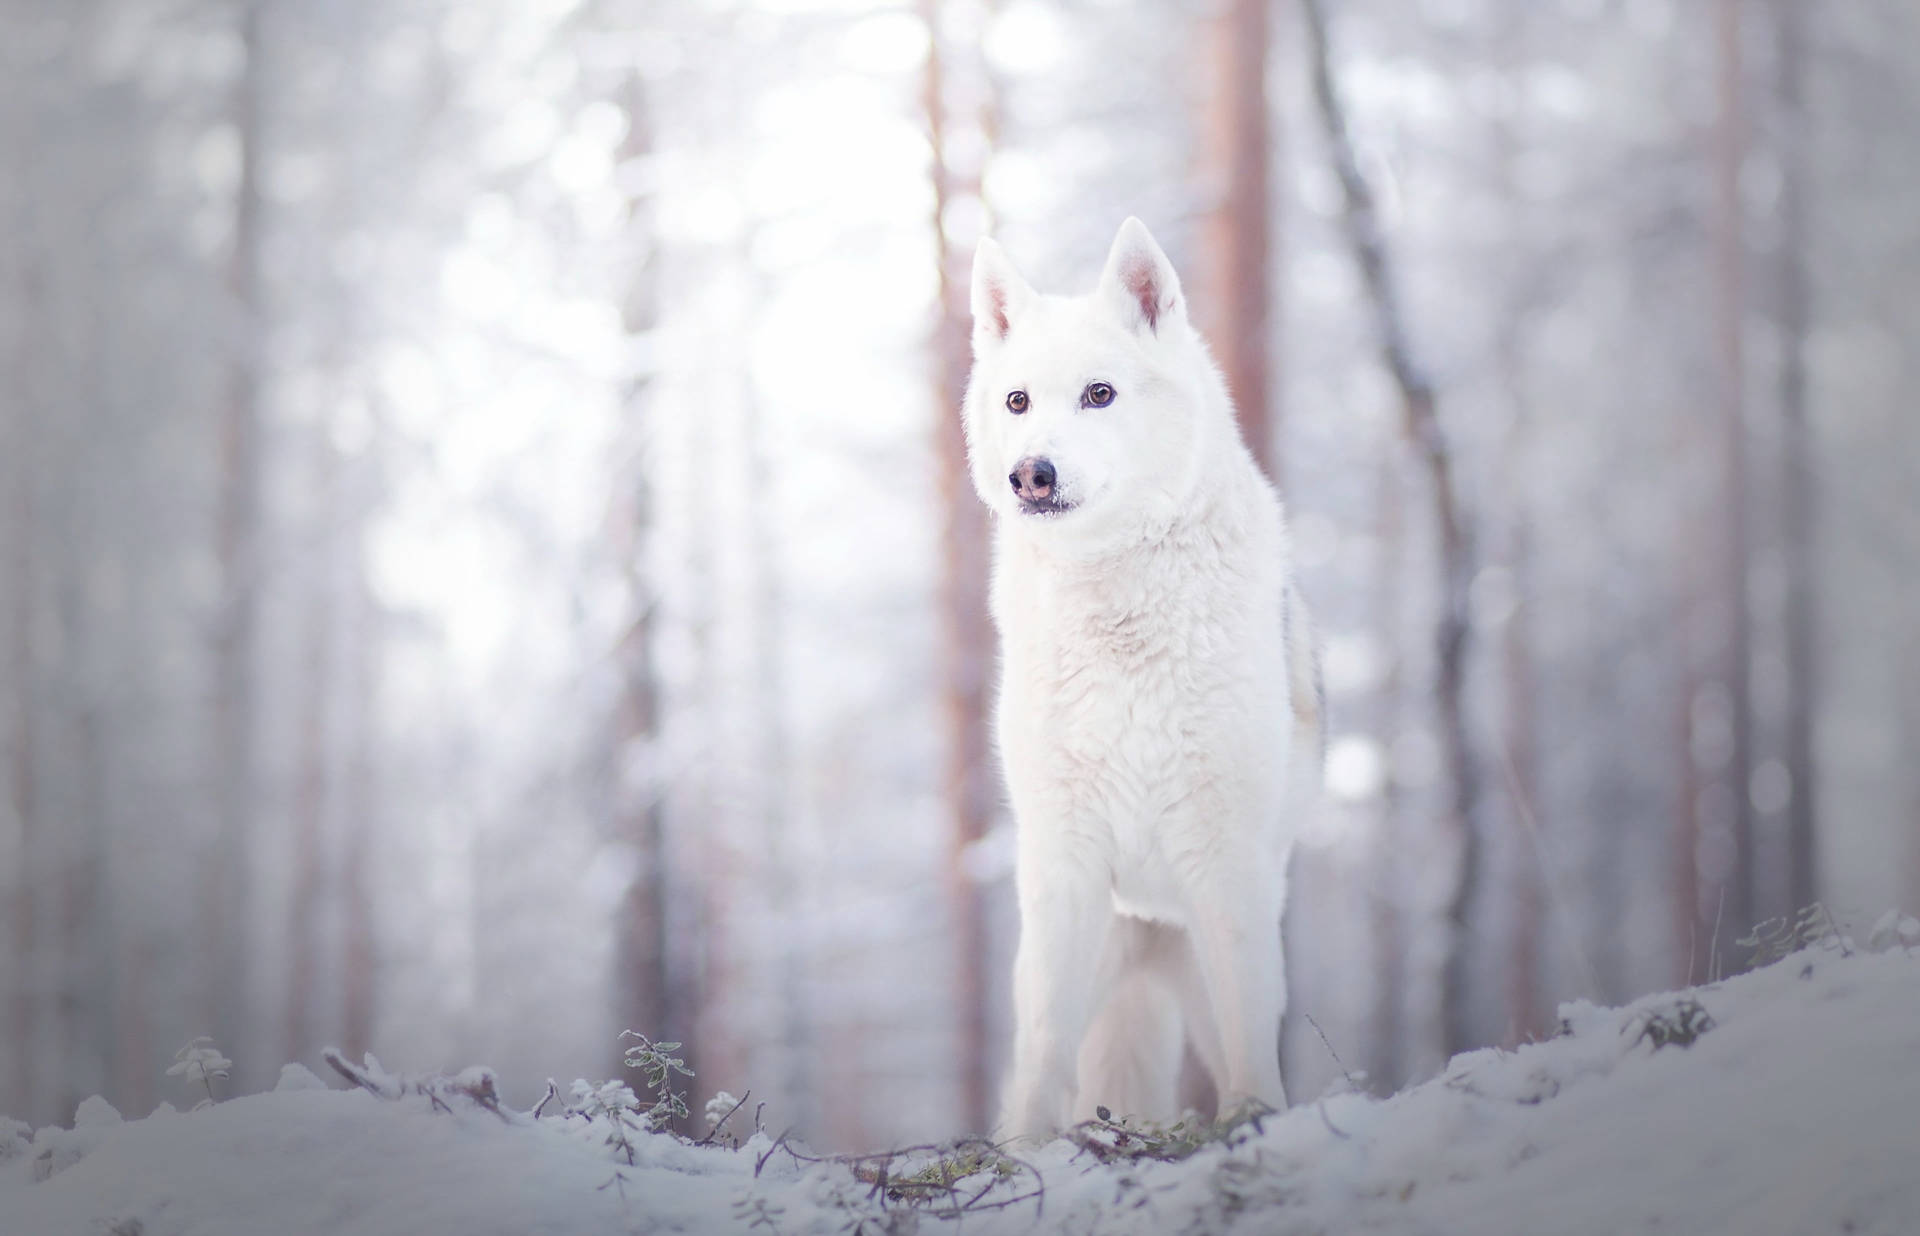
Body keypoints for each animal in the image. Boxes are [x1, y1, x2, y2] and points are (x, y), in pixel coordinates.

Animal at [963, 217, 1323, 1141]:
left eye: (1100, 394)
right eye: (1017, 403)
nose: (1032, 474)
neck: (1117, 613)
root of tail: (1152, 931)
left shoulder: (1225, 862)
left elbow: (1248, 1031)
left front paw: (1252, 1122)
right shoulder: (1064, 865)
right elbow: (1044, 1046)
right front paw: (1025, 1152)